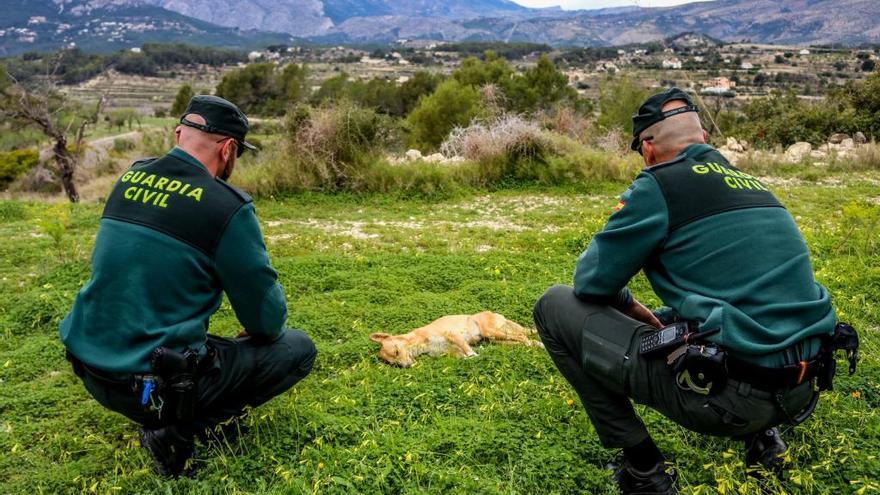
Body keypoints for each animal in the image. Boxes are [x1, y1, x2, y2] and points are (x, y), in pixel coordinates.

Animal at [368, 314, 540, 368]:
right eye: (394, 364)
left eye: (397, 351)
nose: (407, 366)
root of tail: (498, 315)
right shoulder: (451, 351)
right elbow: (462, 356)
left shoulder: (454, 335)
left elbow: (468, 350)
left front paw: (475, 355)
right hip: (499, 340)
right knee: (525, 338)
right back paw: (538, 345)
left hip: (492, 332)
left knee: (523, 337)